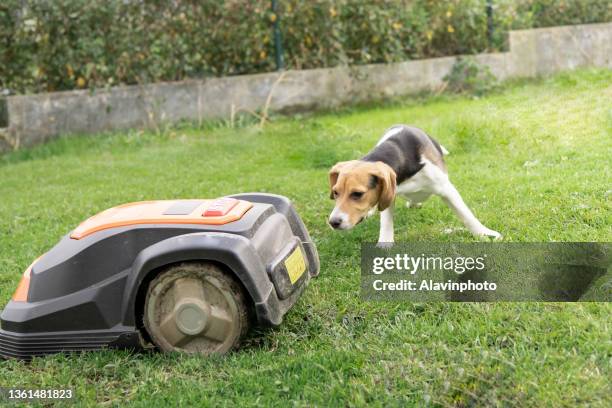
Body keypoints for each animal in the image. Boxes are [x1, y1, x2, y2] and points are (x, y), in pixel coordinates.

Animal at [328, 124, 500, 244]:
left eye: (357, 194)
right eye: (335, 193)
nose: (333, 222)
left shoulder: (447, 189)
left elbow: (466, 215)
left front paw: (484, 233)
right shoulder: (390, 193)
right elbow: (386, 222)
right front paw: (384, 243)